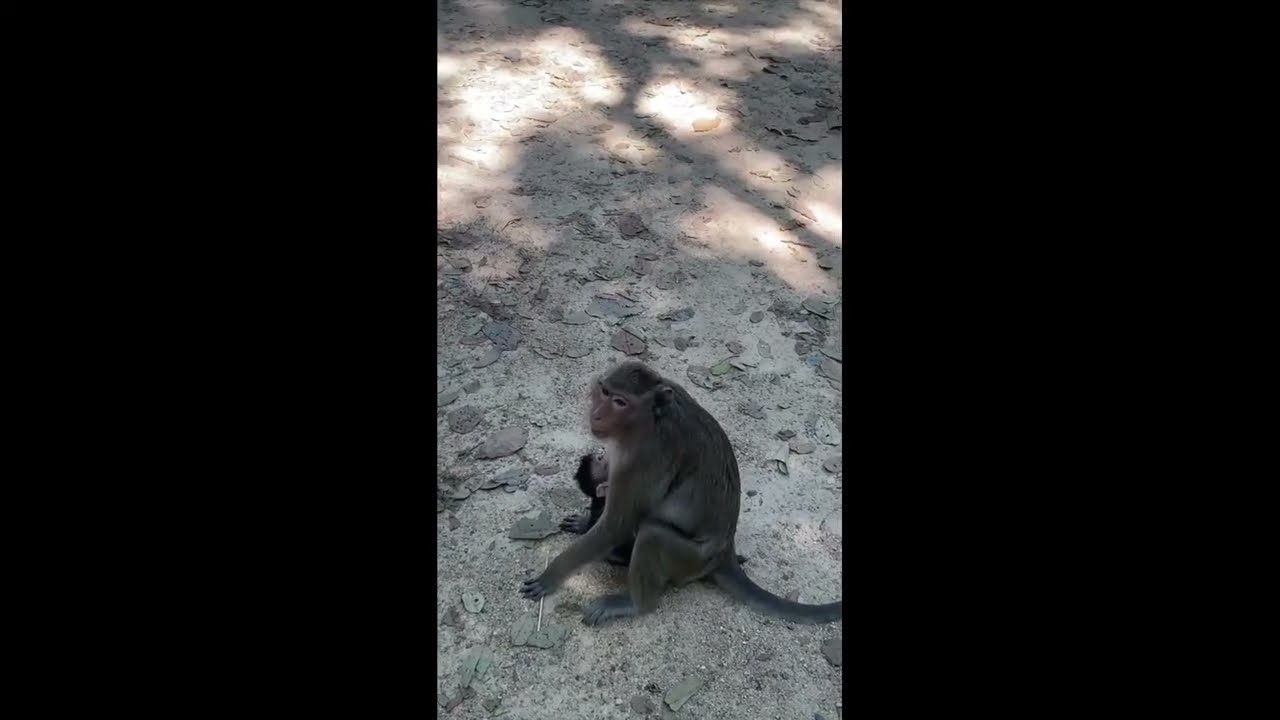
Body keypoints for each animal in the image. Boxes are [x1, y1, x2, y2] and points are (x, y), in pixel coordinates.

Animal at [521, 361, 840, 625]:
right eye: (604, 391)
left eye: (620, 402)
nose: (597, 414)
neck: (651, 419)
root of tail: (725, 551)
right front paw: (584, 522)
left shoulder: (646, 456)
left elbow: (617, 525)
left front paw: (552, 575)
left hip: (690, 559)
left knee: (652, 535)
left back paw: (636, 604)